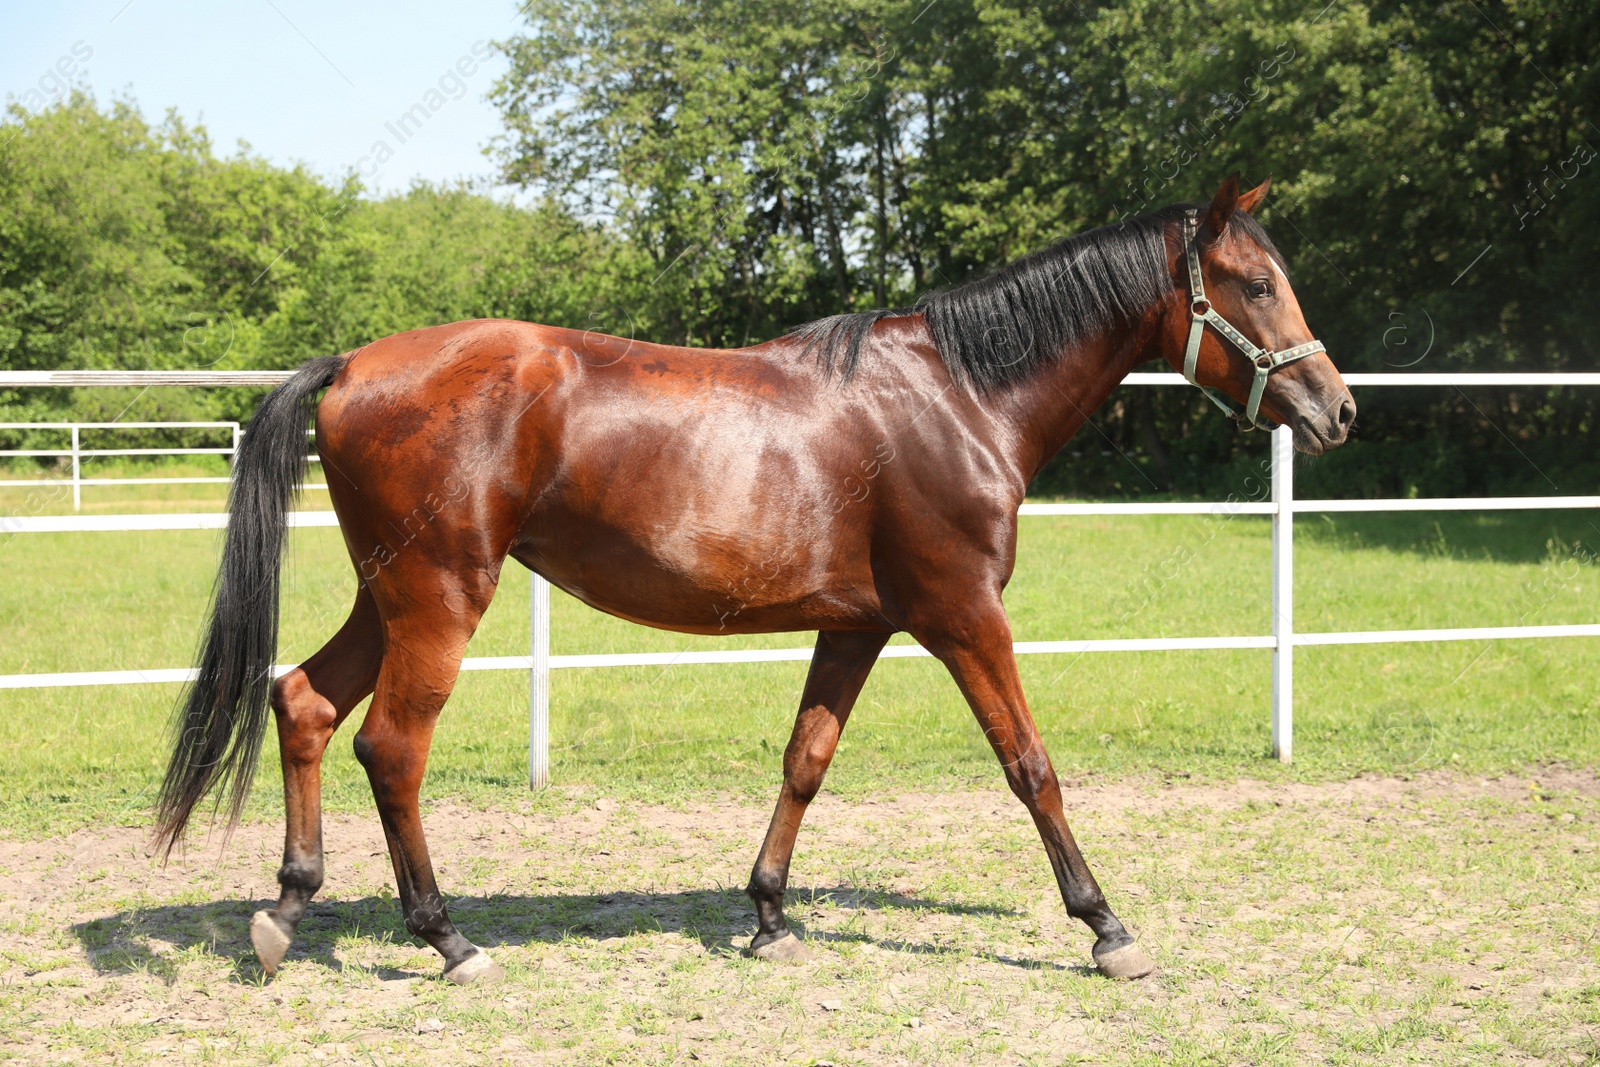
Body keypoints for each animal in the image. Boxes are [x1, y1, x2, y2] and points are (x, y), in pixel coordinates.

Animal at [156, 175, 1350, 985]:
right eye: (1254, 283)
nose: (1337, 409)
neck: (957, 395)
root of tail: (351, 365)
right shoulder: (966, 616)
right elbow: (1031, 766)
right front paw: (1105, 925)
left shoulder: (859, 626)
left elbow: (805, 759)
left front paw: (769, 914)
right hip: (442, 599)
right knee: (392, 747)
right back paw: (446, 938)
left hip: (390, 596)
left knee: (304, 702)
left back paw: (287, 909)